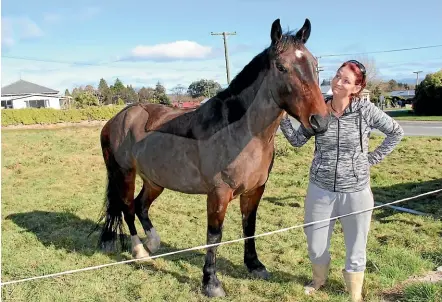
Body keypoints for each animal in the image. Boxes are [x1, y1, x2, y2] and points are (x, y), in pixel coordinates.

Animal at [97, 17, 332, 298]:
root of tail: (118, 118)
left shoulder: (255, 190)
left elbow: (249, 226)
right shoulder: (218, 194)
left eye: (315, 65)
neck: (241, 131)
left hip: (155, 180)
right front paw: (211, 282)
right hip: (124, 173)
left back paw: (153, 243)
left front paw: (255, 265)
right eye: (282, 67)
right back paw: (140, 251)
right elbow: (214, 235)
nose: (320, 121)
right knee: (127, 207)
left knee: (141, 205)